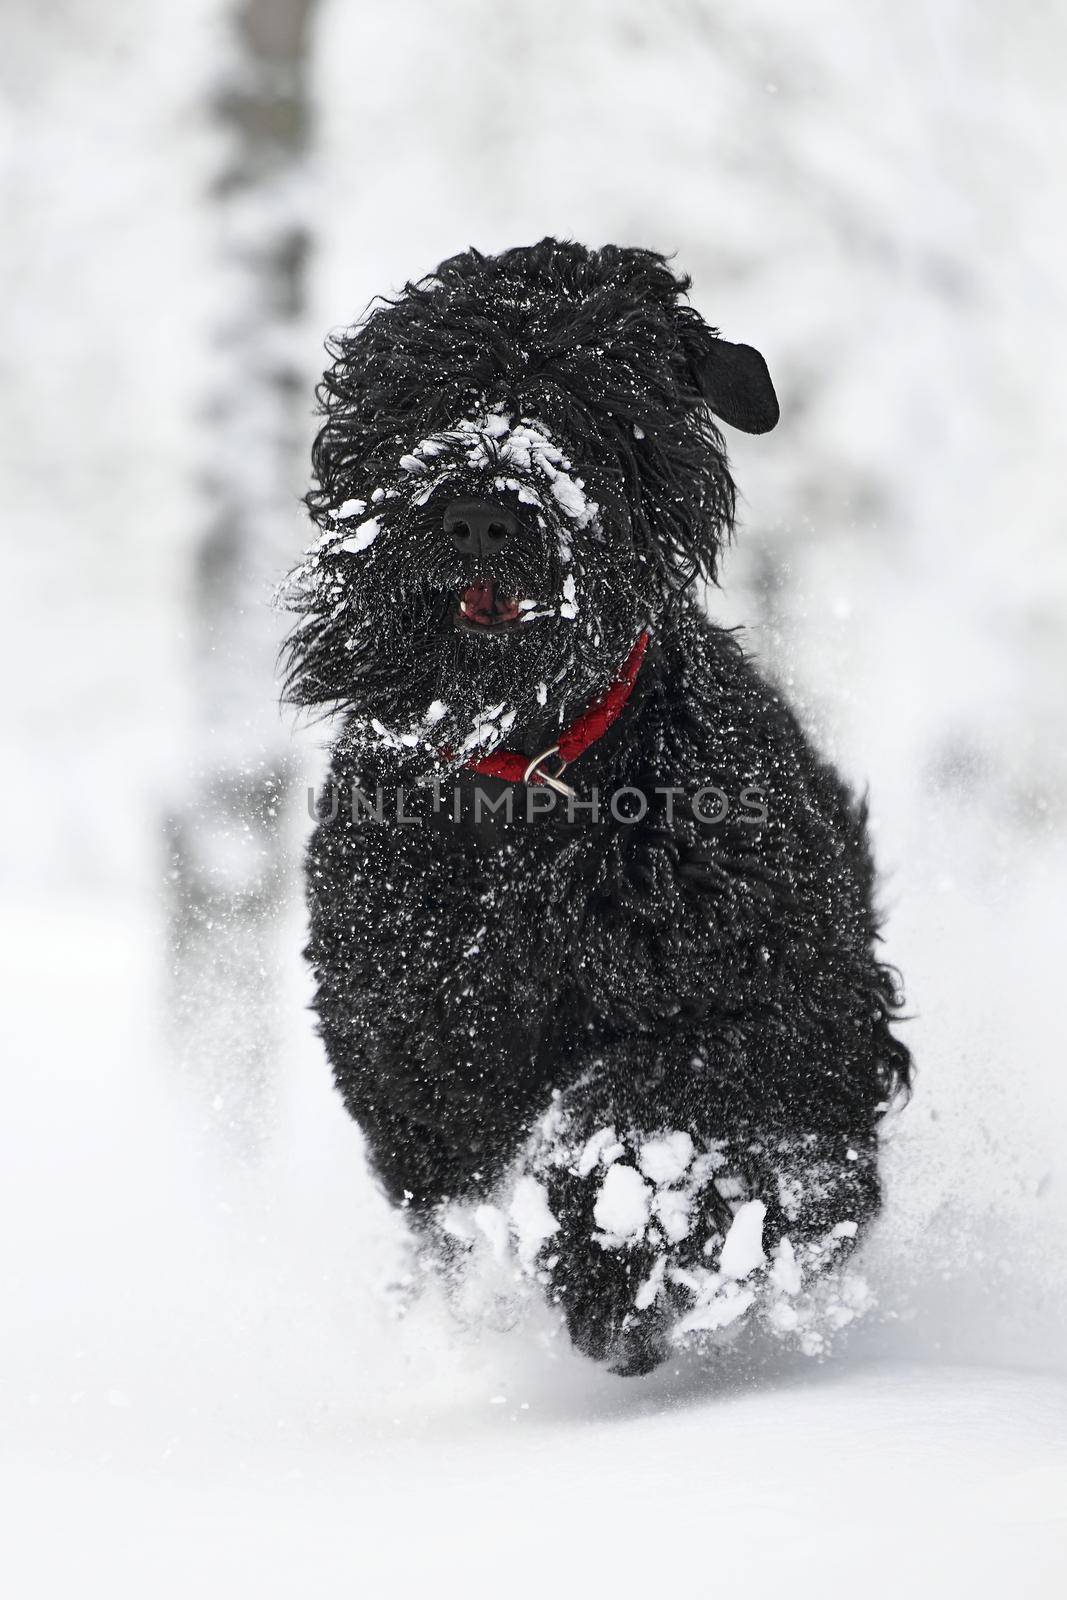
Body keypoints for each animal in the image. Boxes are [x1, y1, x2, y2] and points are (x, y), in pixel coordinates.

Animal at [281, 240, 908, 1376]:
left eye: (592, 392)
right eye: (421, 387)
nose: (480, 511)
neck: (529, 790)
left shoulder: (802, 1011)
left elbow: (652, 1088)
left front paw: (620, 1253)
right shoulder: (414, 1066)